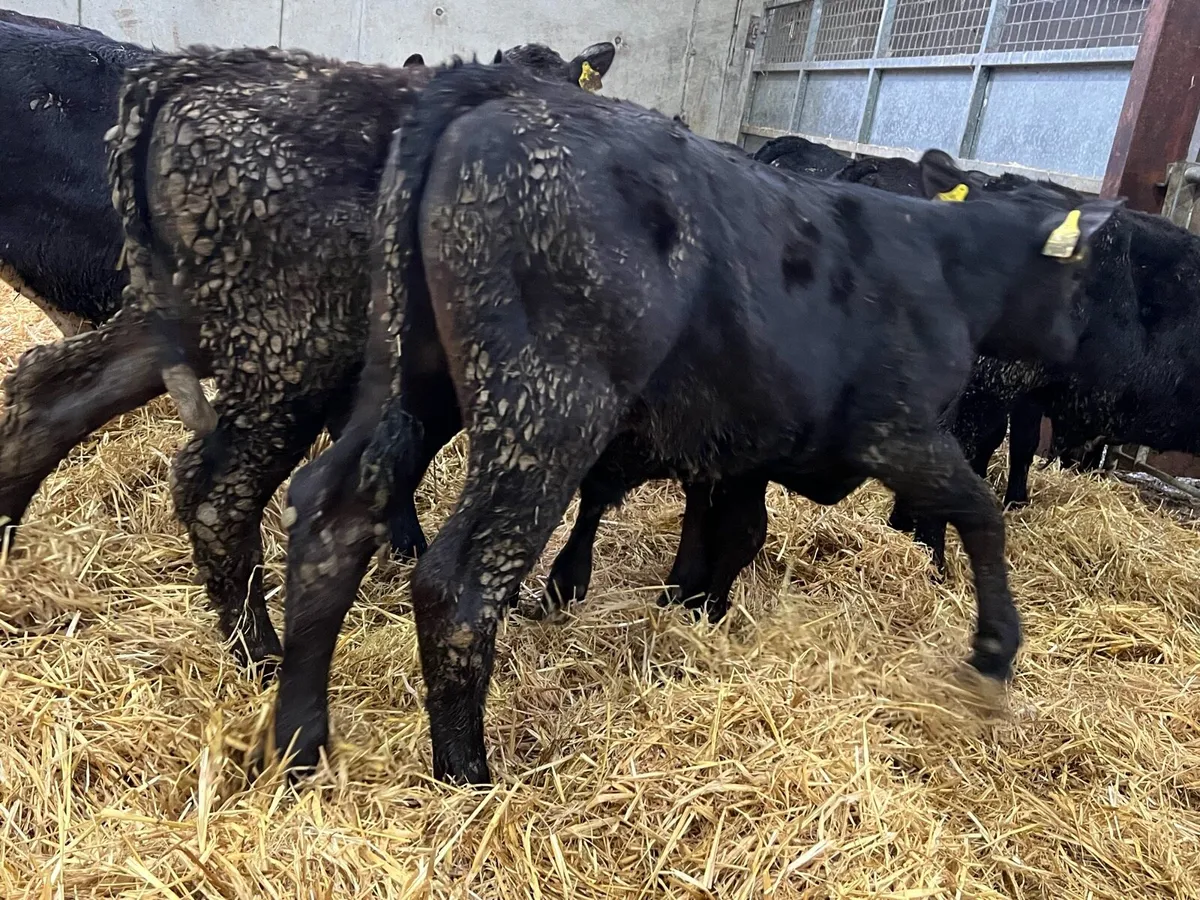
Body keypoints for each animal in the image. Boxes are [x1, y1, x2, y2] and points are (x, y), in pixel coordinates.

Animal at [265, 62, 1116, 783]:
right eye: (1080, 280)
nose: (1078, 343)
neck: (944, 266)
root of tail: (488, 92)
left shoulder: (748, 443)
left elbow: (737, 532)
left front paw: (697, 610)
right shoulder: (897, 429)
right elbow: (979, 512)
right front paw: (994, 650)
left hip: (408, 374)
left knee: (332, 516)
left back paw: (299, 745)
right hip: (547, 408)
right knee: (461, 582)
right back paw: (467, 777)